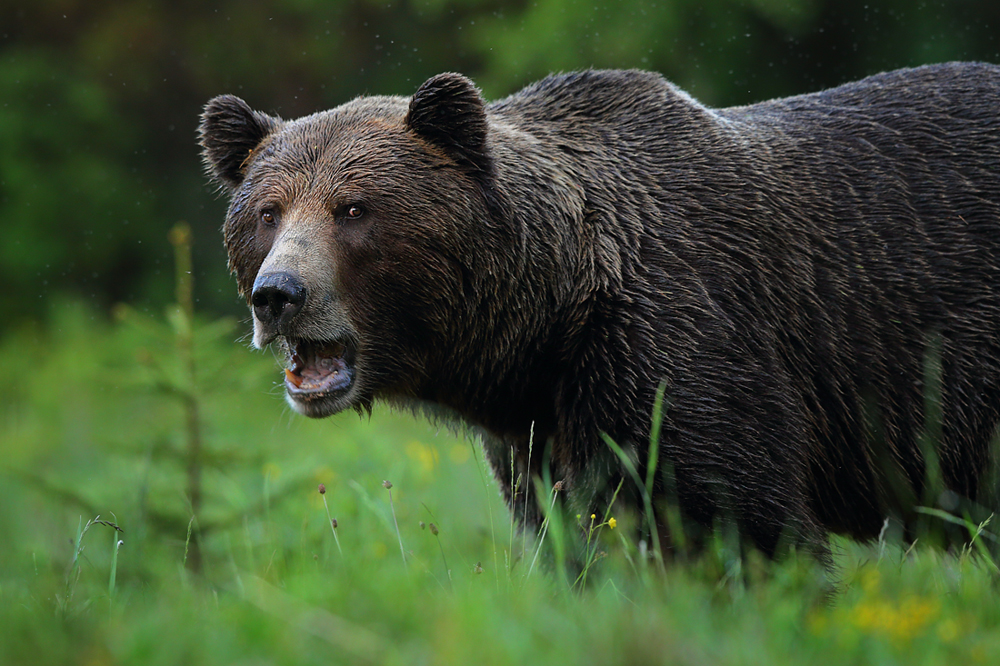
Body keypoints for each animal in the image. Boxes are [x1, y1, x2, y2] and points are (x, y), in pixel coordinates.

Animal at [199, 65, 996, 556]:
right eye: (268, 212)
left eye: (353, 209)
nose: (279, 294)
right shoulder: (542, 433)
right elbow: (578, 537)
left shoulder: (684, 344)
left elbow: (742, 520)